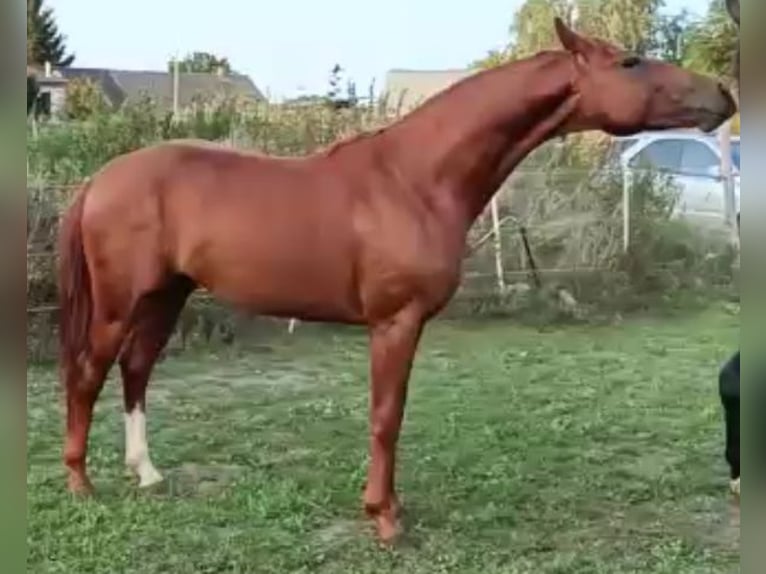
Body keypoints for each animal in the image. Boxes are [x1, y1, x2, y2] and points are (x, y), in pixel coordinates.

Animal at [57, 17, 736, 542]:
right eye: (629, 61)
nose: (724, 94)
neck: (414, 179)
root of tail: (100, 179)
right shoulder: (395, 322)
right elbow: (387, 415)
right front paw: (384, 519)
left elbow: (394, 415)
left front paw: (390, 508)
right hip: (121, 301)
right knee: (90, 373)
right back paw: (81, 483)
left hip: (165, 295)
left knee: (136, 370)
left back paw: (146, 473)